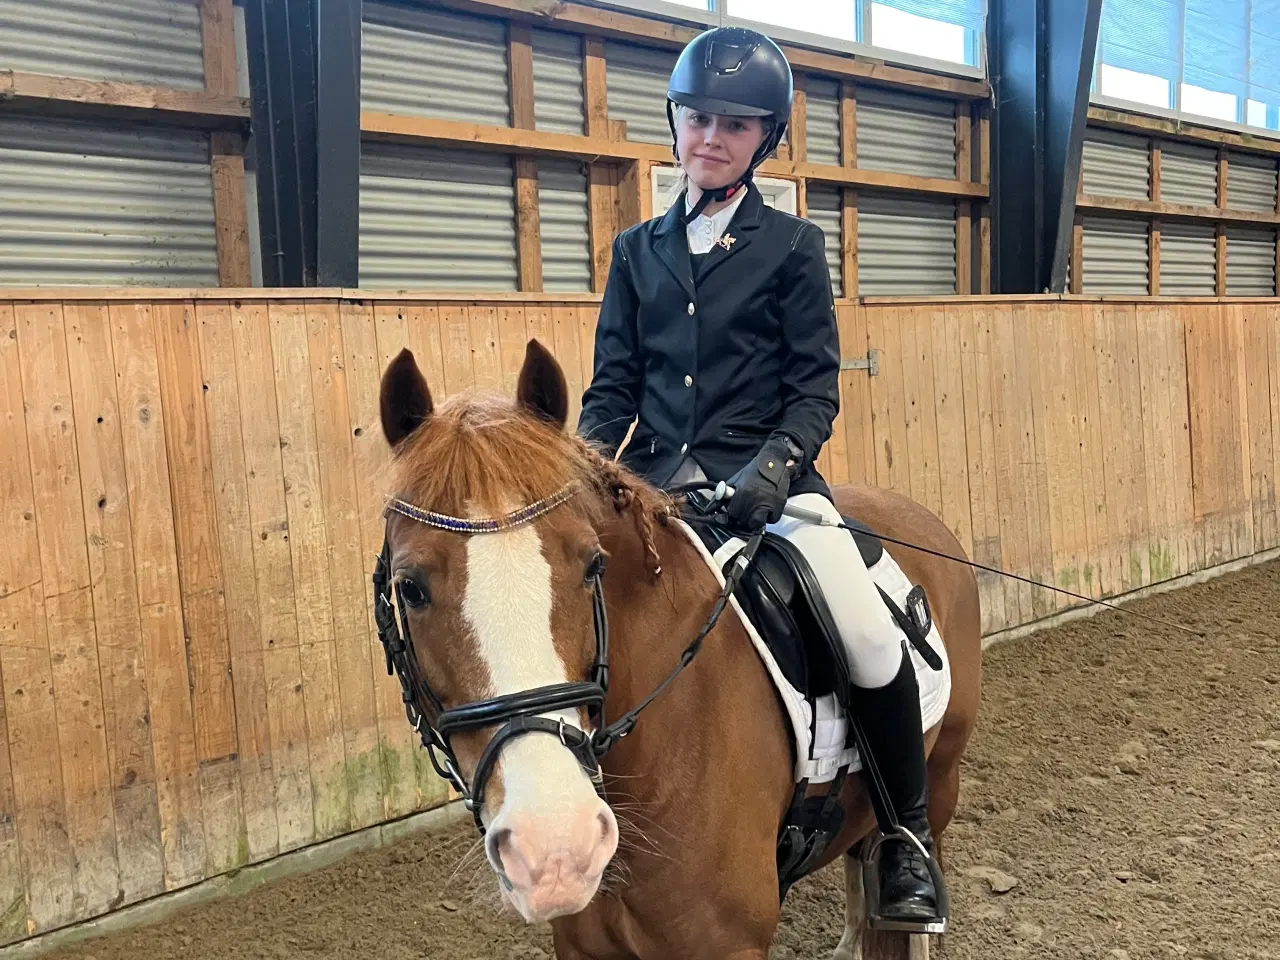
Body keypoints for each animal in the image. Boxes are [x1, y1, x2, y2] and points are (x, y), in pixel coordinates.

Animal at [373, 338, 983, 960]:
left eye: (591, 564)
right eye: (410, 587)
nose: (557, 849)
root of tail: (923, 519)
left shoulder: (729, 946)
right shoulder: (584, 947)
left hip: (942, 777)